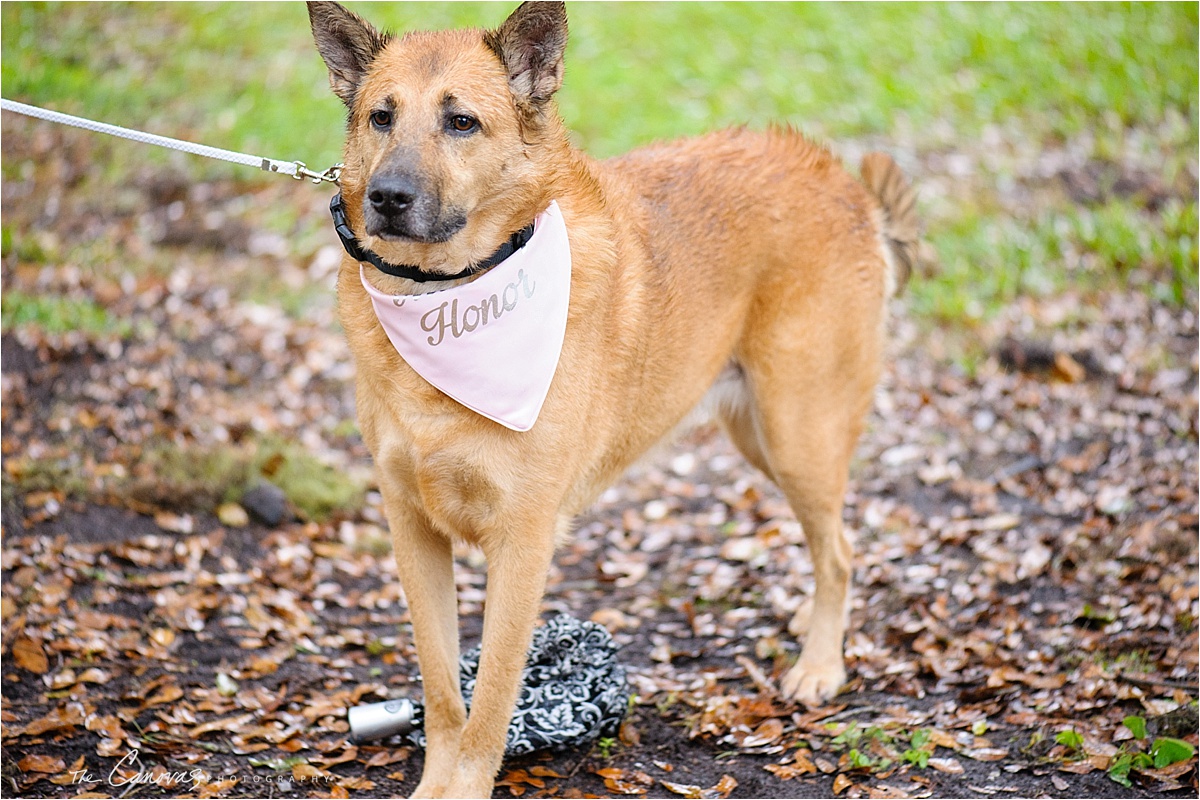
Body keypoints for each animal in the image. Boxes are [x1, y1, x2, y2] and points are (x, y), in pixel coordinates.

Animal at [309, 3, 916, 796]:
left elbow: (490, 704)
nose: (386, 198)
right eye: (381, 117)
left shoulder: (523, 544)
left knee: (840, 549)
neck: (447, 296)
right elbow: (443, 694)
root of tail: (840, 180)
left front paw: (465, 784)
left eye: (461, 122)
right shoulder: (414, 532)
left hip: (798, 436)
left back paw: (819, 666)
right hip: (758, 432)